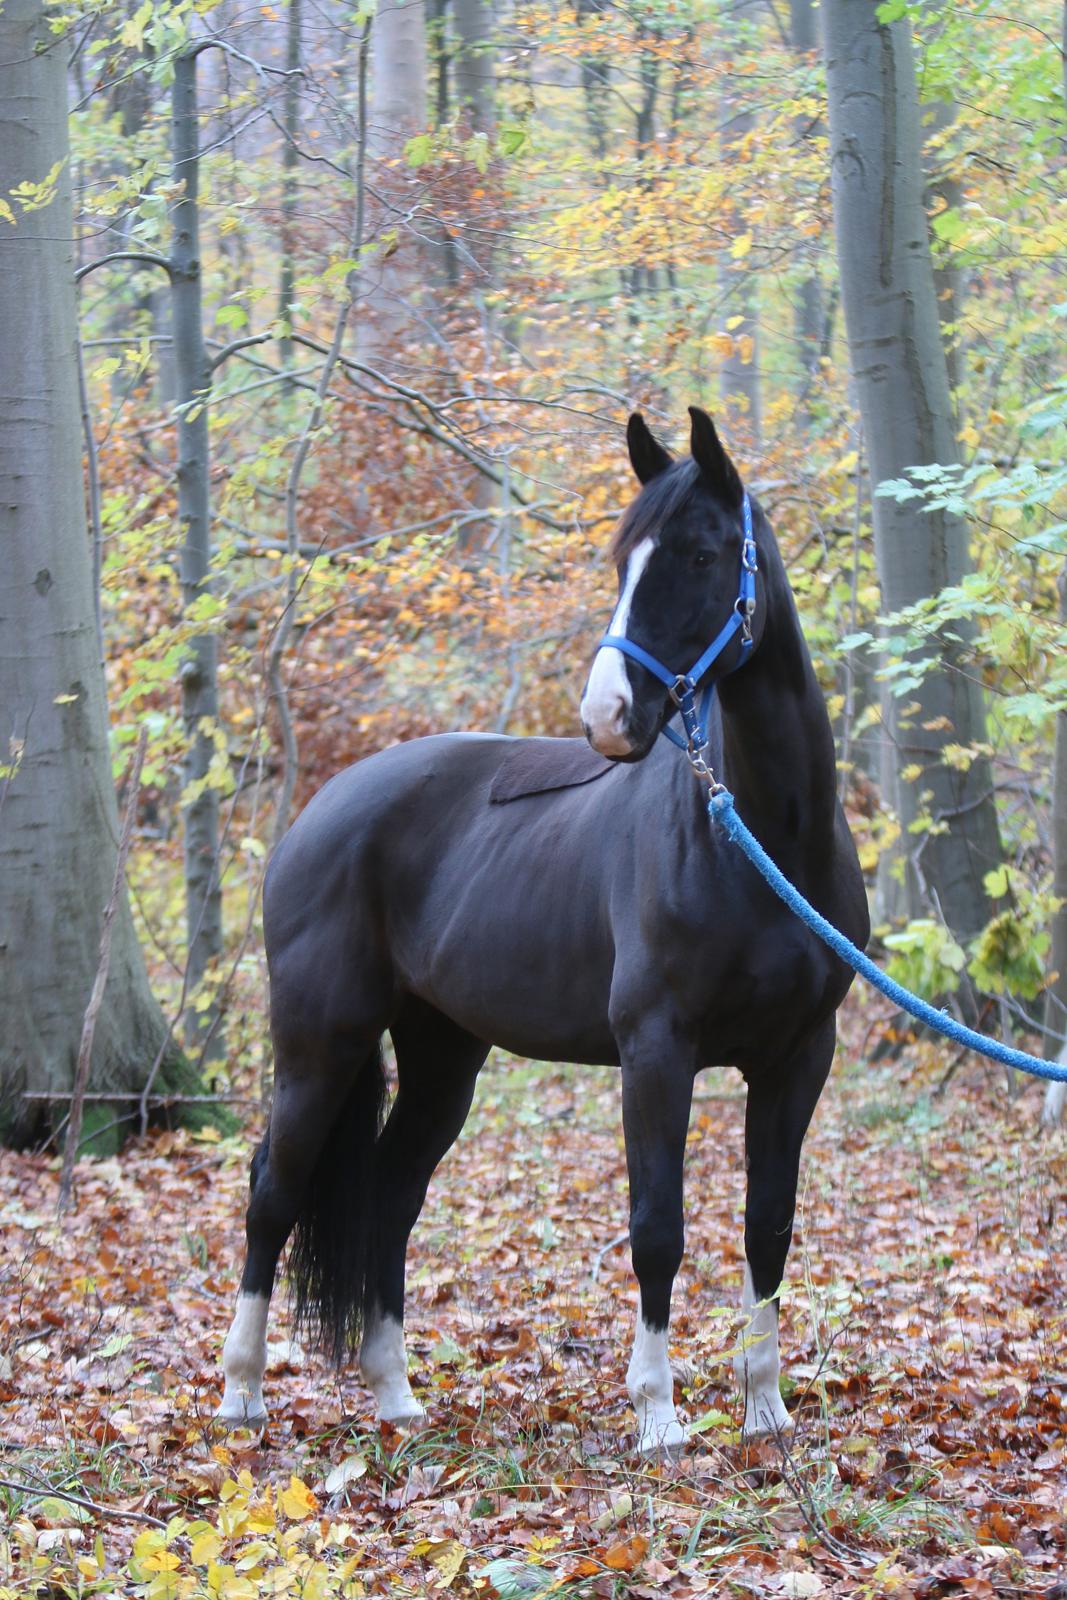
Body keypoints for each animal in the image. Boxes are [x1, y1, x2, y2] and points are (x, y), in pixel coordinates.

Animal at [217, 406, 870, 1459]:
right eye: (619, 560)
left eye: (699, 553)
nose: (608, 715)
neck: (760, 842)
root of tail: (320, 811)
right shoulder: (656, 1052)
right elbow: (657, 1225)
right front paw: (657, 1417)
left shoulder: (799, 1057)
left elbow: (766, 1222)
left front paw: (764, 1409)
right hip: (320, 1045)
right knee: (273, 1190)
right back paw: (240, 1393)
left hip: (441, 1056)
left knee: (389, 1193)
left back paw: (395, 1394)